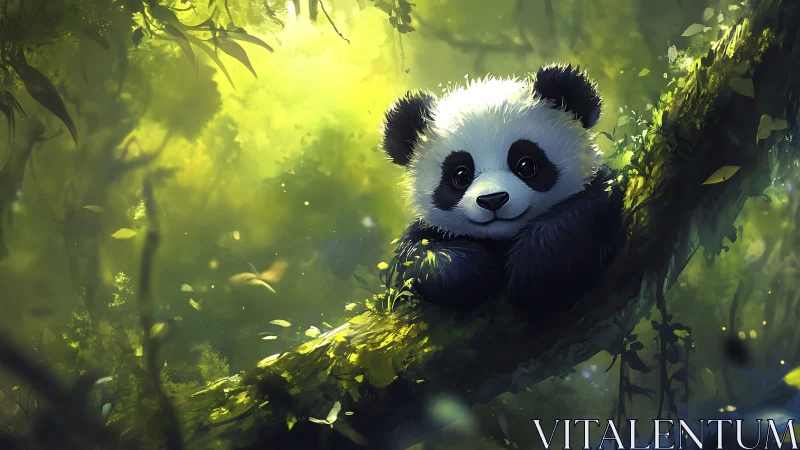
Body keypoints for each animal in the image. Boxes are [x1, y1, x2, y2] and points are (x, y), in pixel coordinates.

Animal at [380, 64, 625, 316]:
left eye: (526, 166)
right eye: (461, 175)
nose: (493, 200)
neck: (501, 239)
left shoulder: (596, 197)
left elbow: (580, 217)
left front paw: (536, 269)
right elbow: (419, 252)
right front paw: (471, 275)